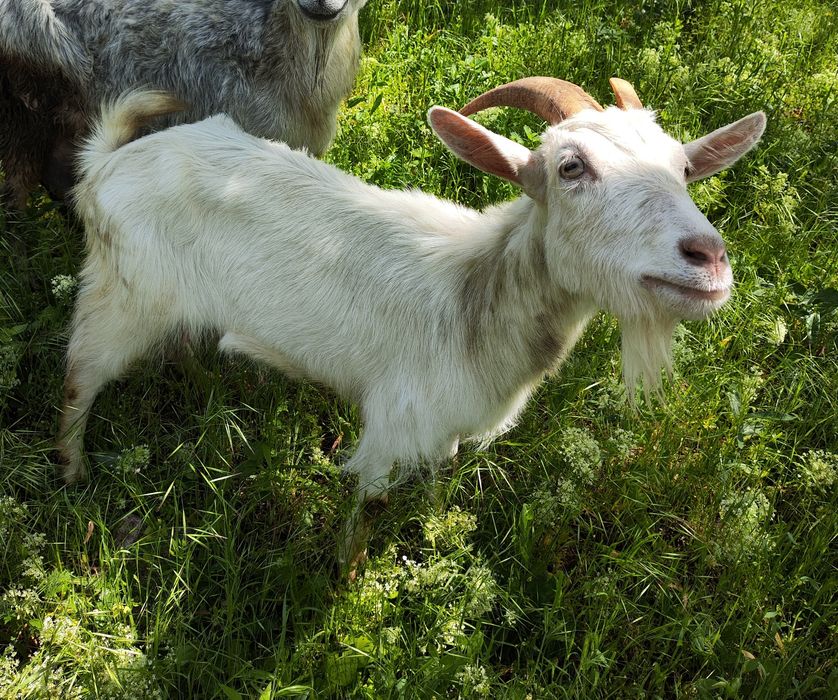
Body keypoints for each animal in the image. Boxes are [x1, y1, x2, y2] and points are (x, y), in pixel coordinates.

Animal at [57, 78, 766, 565]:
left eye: (683, 168)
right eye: (571, 167)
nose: (708, 257)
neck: (471, 298)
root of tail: (104, 164)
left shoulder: (444, 432)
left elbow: (435, 489)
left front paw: (429, 532)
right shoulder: (391, 431)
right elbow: (367, 513)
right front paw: (348, 579)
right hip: (121, 295)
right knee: (78, 378)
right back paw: (72, 474)